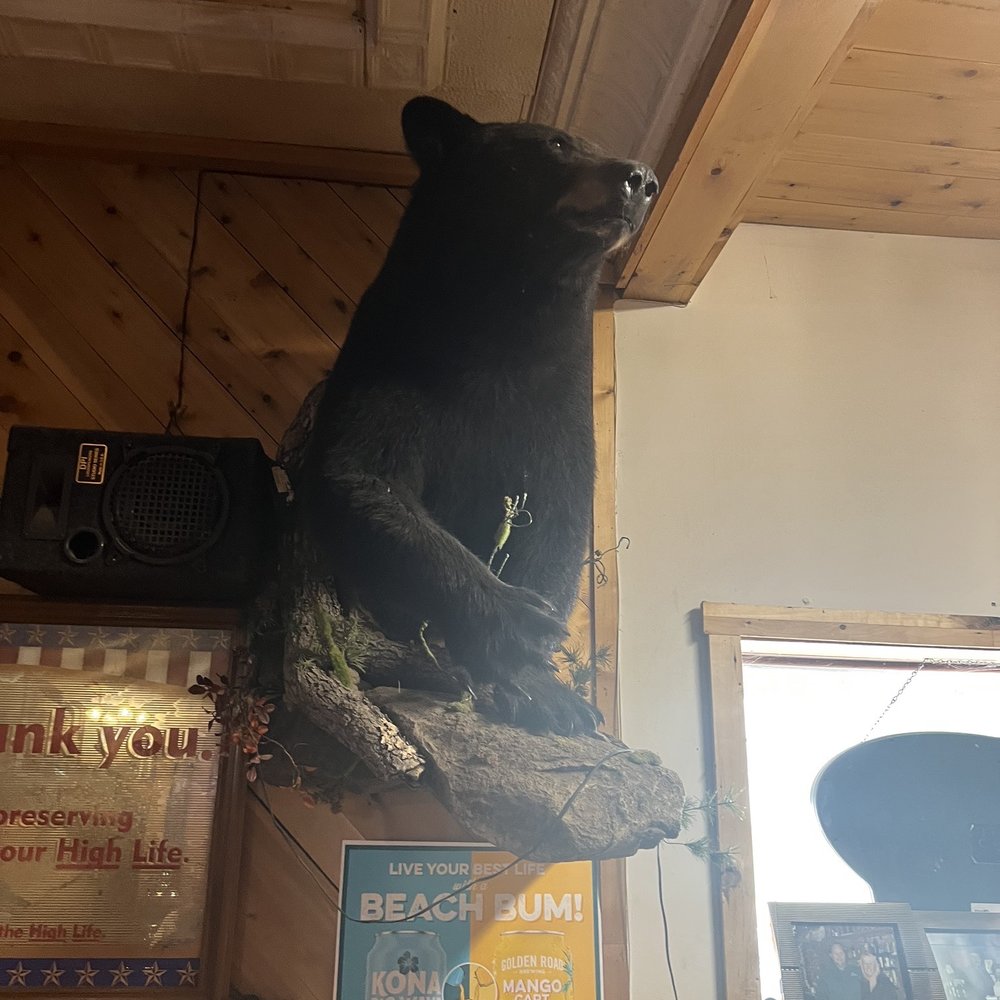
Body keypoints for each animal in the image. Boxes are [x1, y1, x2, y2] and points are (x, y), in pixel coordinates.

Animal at [297, 96, 657, 735]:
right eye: (556, 143)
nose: (642, 179)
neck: (504, 320)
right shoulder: (391, 357)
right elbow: (361, 474)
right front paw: (515, 623)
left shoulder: (558, 399)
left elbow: (556, 515)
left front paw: (550, 692)